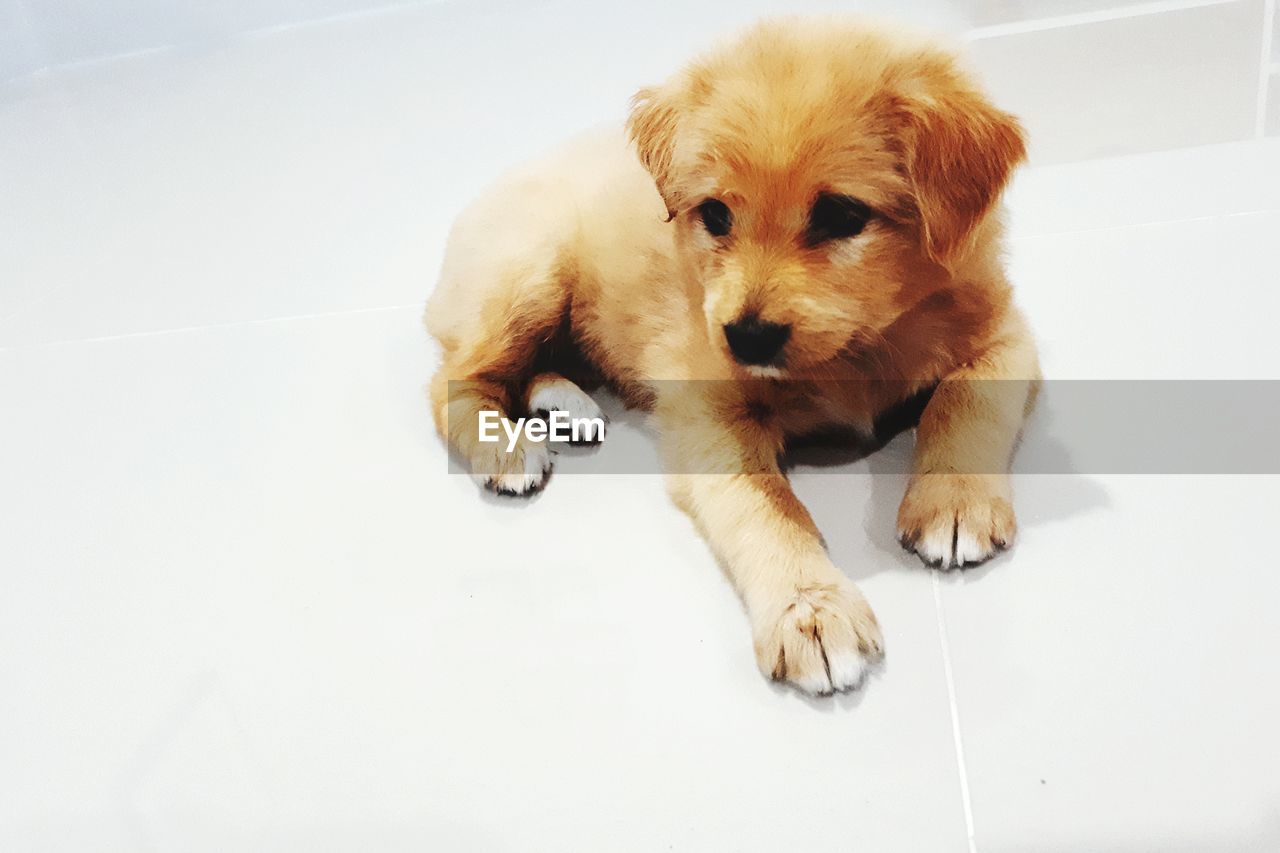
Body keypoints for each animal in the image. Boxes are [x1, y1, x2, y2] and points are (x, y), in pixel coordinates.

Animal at [424, 16, 1034, 696]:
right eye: (714, 214)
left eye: (841, 214)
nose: (747, 337)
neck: (859, 347)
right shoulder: (708, 414)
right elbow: (764, 509)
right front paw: (810, 611)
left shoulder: (1006, 334)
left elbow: (967, 400)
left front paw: (955, 502)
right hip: (530, 278)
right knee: (455, 378)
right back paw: (504, 449)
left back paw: (565, 403)